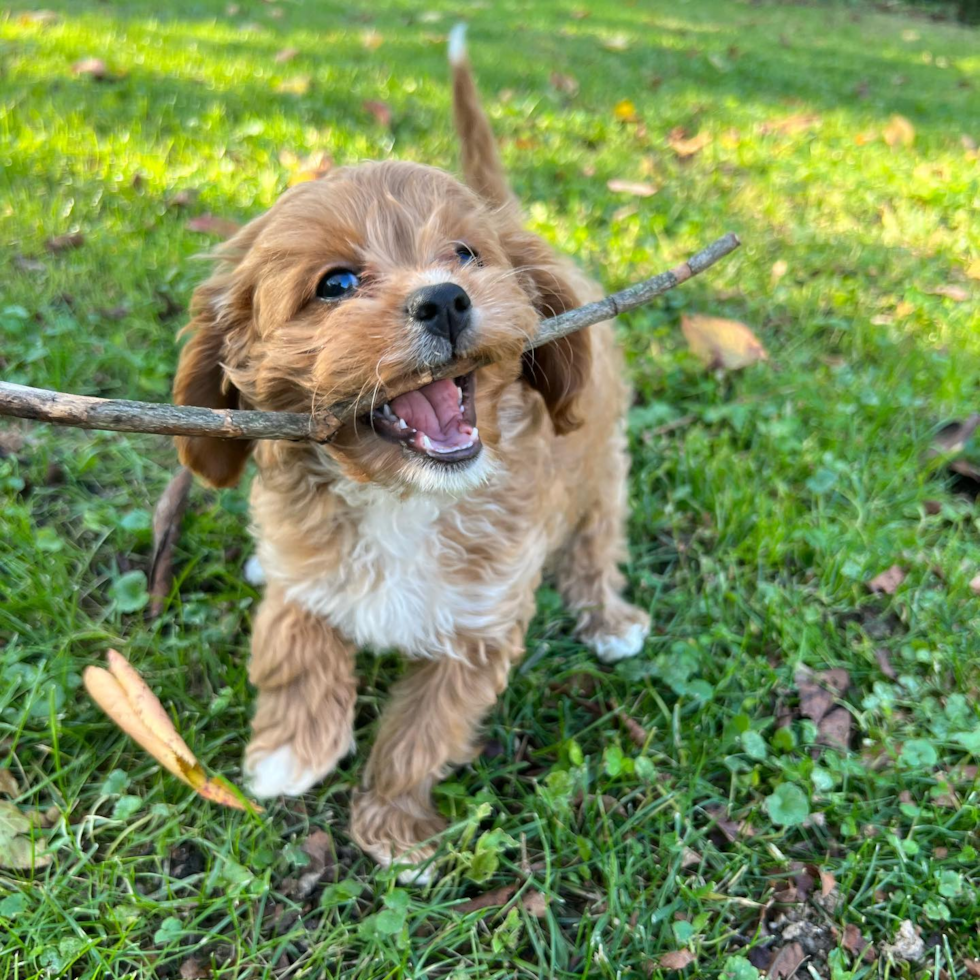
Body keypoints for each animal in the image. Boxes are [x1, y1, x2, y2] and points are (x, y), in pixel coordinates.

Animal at [174, 26, 652, 876]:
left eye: (464, 253)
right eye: (335, 284)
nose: (446, 298)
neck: (403, 497)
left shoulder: (479, 625)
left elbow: (421, 732)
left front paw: (394, 825)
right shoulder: (311, 570)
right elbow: (295, 643)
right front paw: (291, 752)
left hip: (601, 465)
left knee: (598, 538)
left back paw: (606, 615)